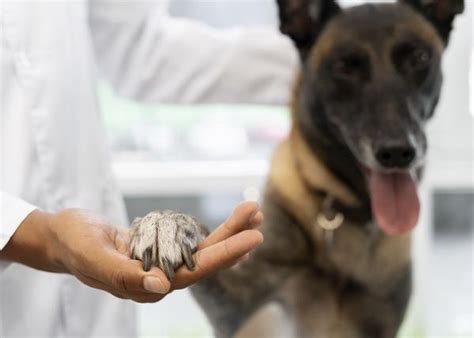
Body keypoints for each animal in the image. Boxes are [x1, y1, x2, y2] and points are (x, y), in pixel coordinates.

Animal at [130, 0, 462, 338]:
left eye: (419, 58)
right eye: (345, 67)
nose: (397, 152)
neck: (343, 210)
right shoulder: (241, 308)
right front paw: (166, 224)